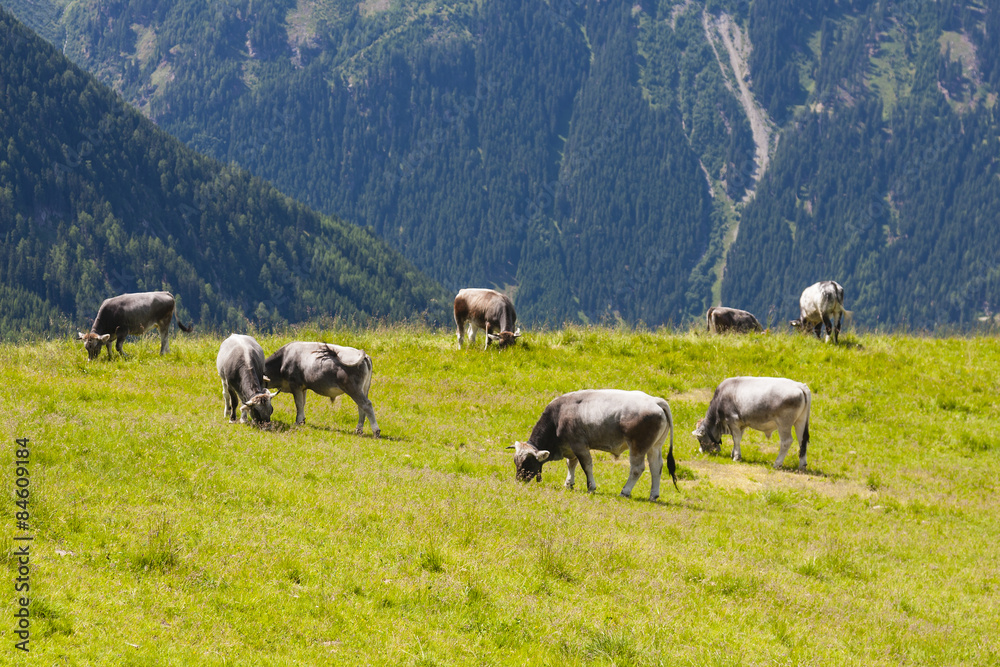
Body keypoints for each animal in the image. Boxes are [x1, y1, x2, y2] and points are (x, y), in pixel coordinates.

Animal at [507, 389, 677, 500]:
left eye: (528, 462)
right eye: (516, 461)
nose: (519, 480)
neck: (558, 416)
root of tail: (655, 400)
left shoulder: (579, 446)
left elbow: (586, 466)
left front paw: (591, 487)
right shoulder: (570, 447)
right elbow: (571, 464)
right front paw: (569, 483)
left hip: (638, 447)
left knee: (637, 469)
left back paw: (625, 491)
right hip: (655, 447)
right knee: (656, 467)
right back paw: (653, 495)